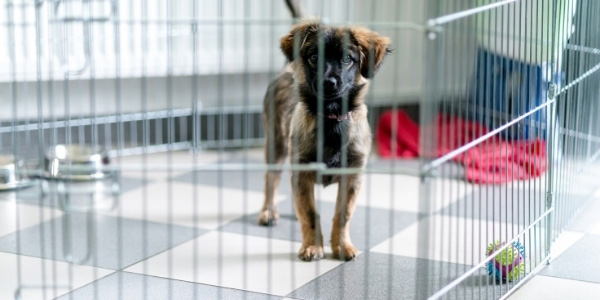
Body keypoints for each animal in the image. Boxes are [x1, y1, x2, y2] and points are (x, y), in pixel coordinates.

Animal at [258, 18, 392, 262]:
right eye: (314, 57)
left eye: (347, 58)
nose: (328, 82)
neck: (331, 118)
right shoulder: (301, 172)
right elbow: (311, 214)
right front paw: (313, 247)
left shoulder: (352, 176)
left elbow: (343, 214)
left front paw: (342, 246)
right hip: (275, 144)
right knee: (271, 179)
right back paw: (268, 212)